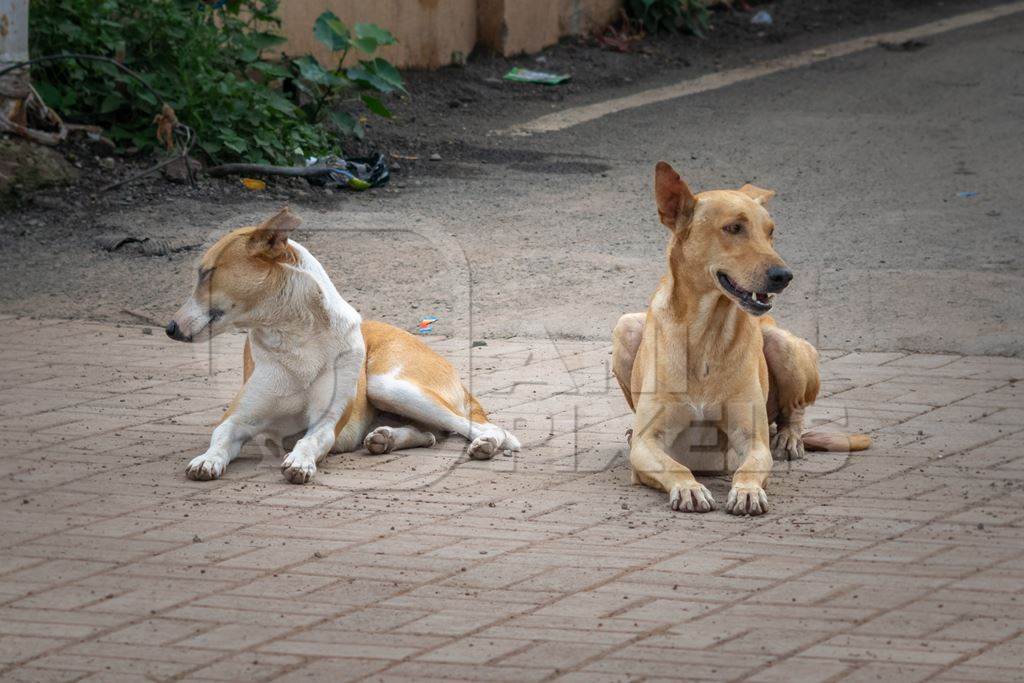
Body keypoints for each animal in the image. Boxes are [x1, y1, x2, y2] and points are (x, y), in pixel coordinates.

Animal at [171, 210, 520, 483]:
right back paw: (385, 439)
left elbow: (309, 441)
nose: (170, 328)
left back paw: (486, 443)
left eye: (207, 273)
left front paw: (300, 462)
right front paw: (207, 459)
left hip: (389, 385)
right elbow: (219, 436)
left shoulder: (326, 423)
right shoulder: (237, 419)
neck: (297, 338)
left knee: (485, 427)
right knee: (430, 434)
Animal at [610, 162, 868, 516]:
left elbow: (749, 466)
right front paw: (689, 488)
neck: (707, 332)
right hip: (625, 328)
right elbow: (675, 465)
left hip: (781, 343)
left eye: (770, 231)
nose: (784, 276)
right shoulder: (647, 444)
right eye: (733, 228)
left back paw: (789, 438)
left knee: (793, 411)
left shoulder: (752, 439)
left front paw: (747, 491)